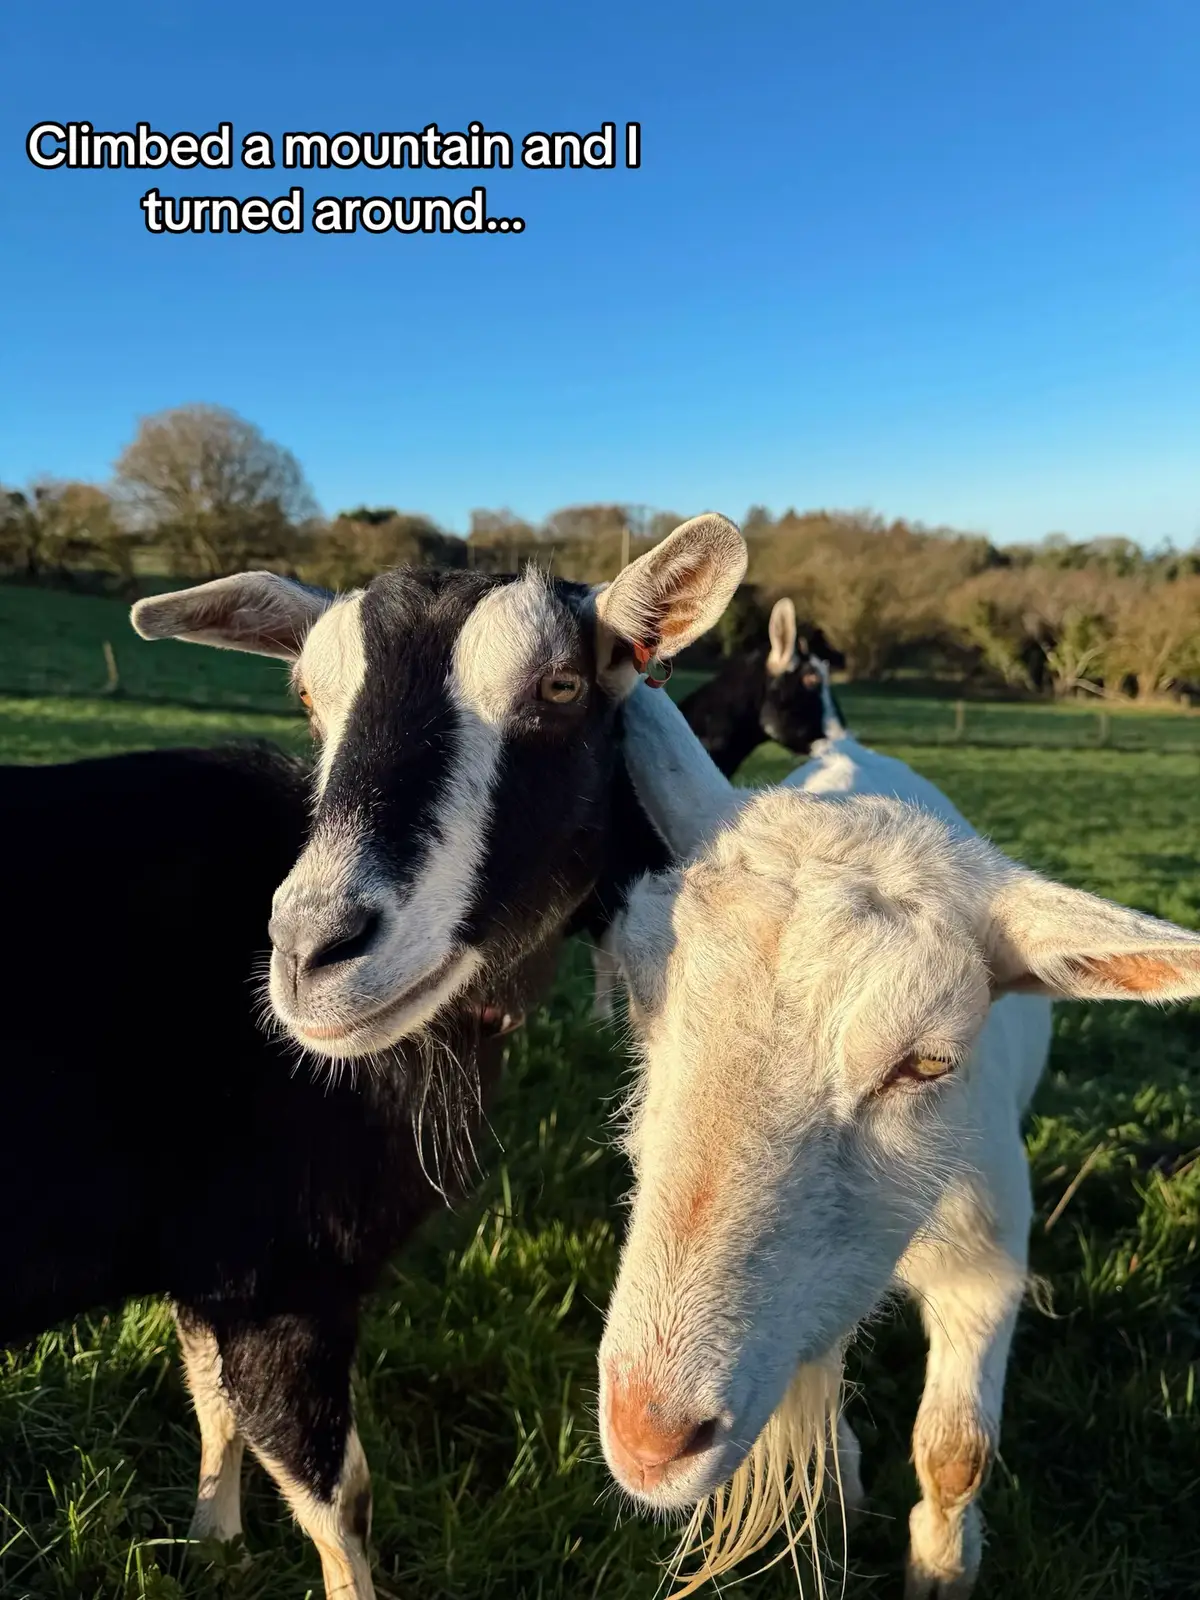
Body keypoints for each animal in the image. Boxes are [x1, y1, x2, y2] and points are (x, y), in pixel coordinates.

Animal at [70, 514, 743, 1596]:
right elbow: (334, 1492)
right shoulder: (278, 1281)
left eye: (562, 686)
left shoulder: (216, 1262)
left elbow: (214, 1400)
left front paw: (213, 1538)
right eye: (308, 697)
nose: (311, 954)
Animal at [593, 684, 1200, 1599]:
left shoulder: (986, 1261)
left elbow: (956, 1452)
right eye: (635, 991)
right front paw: (839, 1482)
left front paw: (942, 1568)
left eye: (928, 1062)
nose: (650, 1438)